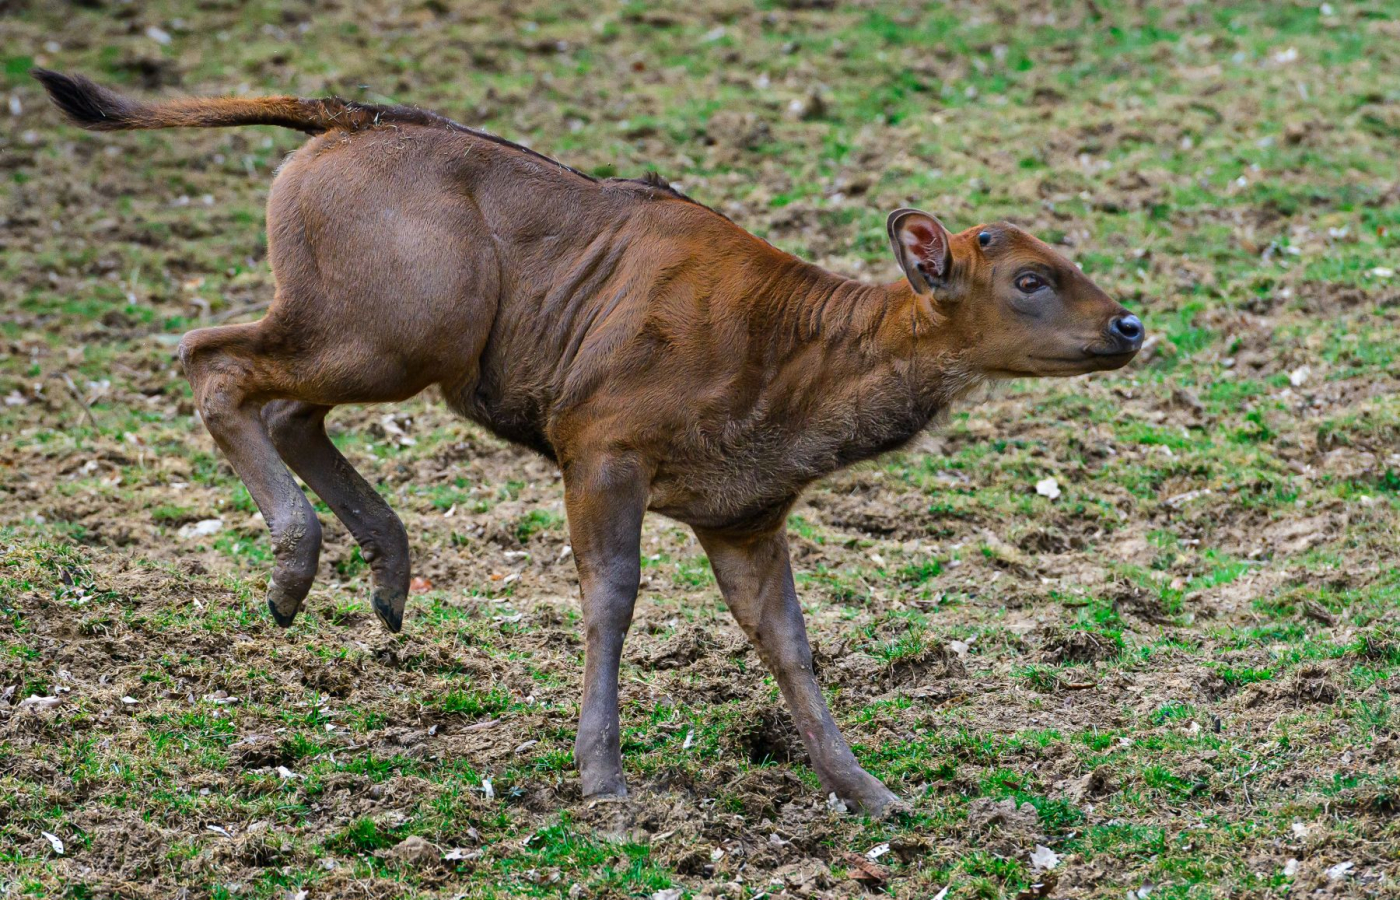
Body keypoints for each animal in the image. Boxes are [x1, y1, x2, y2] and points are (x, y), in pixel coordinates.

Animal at [35, 72, 1148, 817]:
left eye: (1065, 257)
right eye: (1028, 278)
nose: (1129, 325)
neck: (788, 378)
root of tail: (340, 121)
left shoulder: (744, 511)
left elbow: (789, 640)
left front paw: (871, 792)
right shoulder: (599, 439)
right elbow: (609, 598)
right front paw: (602, 776)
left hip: (380, 334)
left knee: (281, 403)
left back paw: (384, 576)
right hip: (396, 322)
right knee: (211, 356)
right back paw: (293, 566)